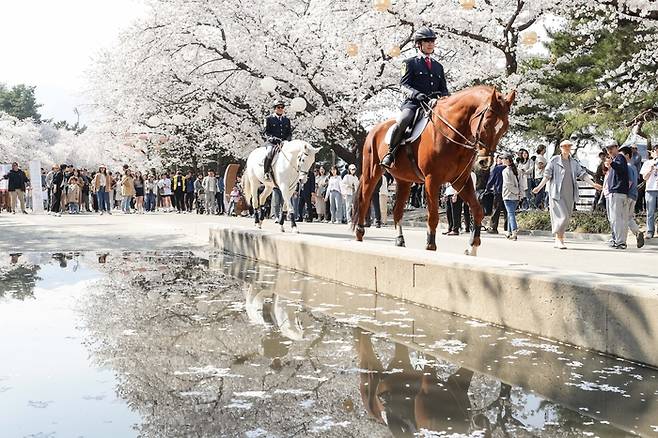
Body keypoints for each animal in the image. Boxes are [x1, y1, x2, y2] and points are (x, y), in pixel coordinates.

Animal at [352, 85, 516, 256]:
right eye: (486, 124)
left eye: (504, 128)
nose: (485, 161)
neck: (452, 132)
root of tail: (375, 129)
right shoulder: (432, 180)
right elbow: (433, 216)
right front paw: (430, 245)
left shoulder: (461, 181)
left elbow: (478, 210)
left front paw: (472, 247)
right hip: (372, 172)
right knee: (365, 198)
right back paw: (359, 232)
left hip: (404, 181)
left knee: (397, 210)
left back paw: (400, 240)